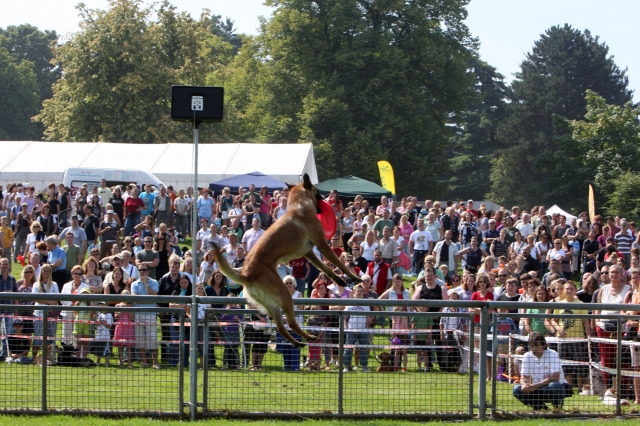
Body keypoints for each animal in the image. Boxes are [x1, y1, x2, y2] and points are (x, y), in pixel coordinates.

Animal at [212, 173, 362, 346]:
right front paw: (354, 277)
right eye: (317, 191)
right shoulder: (322, 244)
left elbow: (326, 268)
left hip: (272, 304)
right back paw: (308, 337)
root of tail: (246, 275)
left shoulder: (310, 253)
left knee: (280, 327)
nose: (326, 199)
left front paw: (339, 280)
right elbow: (339, 263)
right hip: (285, 294)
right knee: (289, 322)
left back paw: (298, 342)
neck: (298, 206)